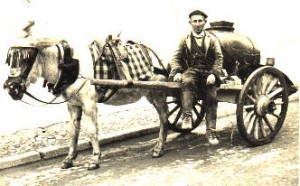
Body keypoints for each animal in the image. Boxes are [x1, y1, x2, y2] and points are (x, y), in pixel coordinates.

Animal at [4, 35, 169, 169]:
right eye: (9, 60)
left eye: (26, 59)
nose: (11, 88)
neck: (71, 66)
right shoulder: (73, 105)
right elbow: (73, 131)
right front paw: (69, 159)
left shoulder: (89, 105)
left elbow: (92, 130)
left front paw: (95, 159)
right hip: (150, 93)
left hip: (158, 93)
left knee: (164, 118)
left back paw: (158, 148)